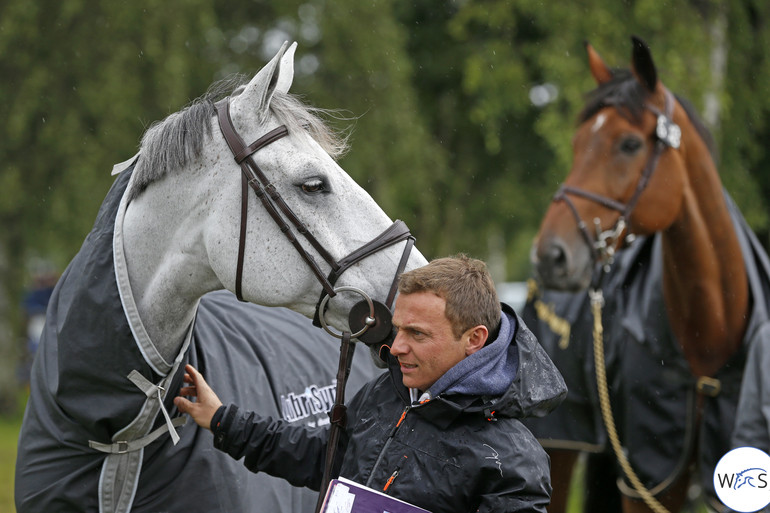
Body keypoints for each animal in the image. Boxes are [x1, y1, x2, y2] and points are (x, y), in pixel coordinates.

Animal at [532, 37, 748, 512]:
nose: (550, 256)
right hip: (560, 443)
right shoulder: (650, 479)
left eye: (630, 144)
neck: (712, 327)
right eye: (577, 143)